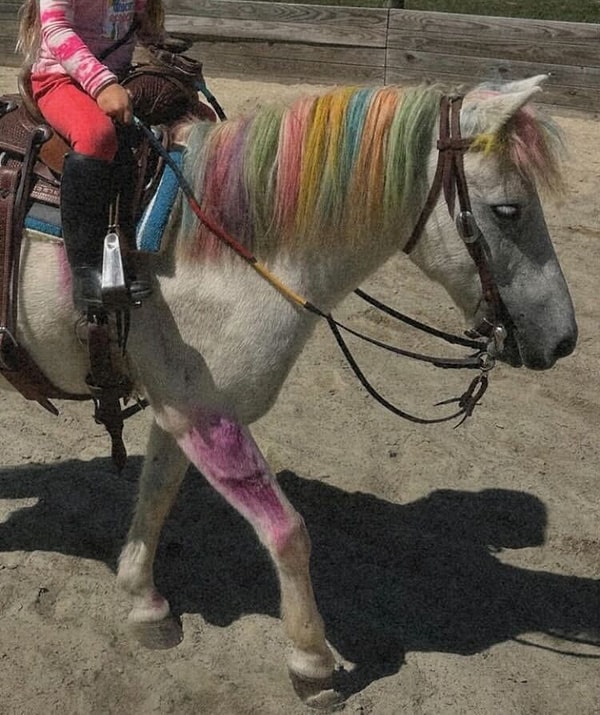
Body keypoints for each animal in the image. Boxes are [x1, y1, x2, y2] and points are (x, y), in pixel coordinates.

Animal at [2, 75, 580, 708]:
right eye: (508, 210)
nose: (564, 340)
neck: (215, 245)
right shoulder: (209, 416)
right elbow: (287, 533)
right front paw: (312, 662)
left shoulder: (181, 408)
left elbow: (156, 496)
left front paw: (145, 603)